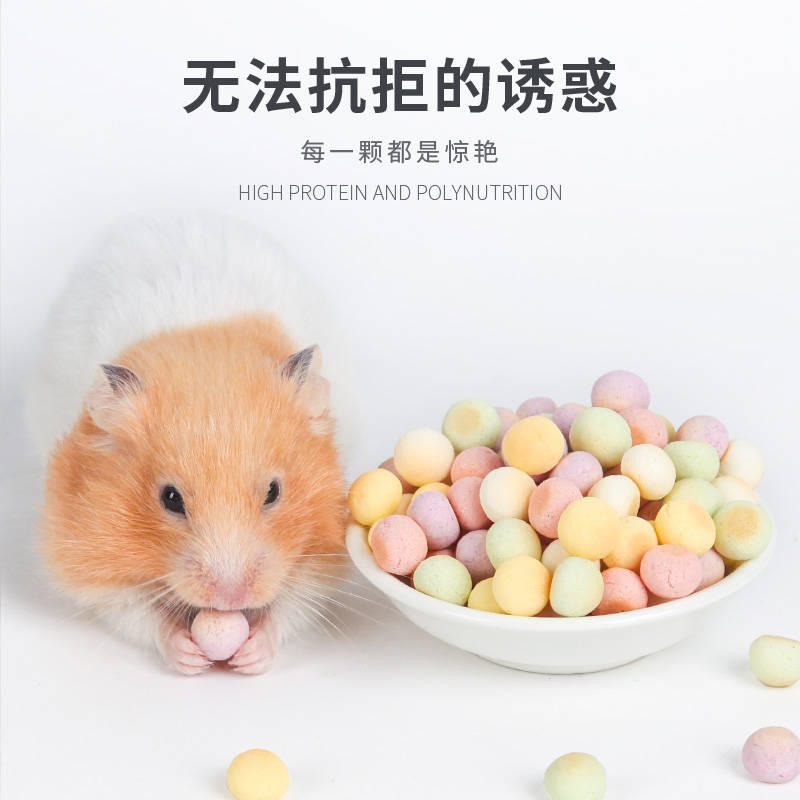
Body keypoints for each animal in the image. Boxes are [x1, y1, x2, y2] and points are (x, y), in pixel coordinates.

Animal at [26, 214, 351, 675]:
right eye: (170, 499)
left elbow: (296, 604)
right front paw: (189, 655)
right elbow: (133, 610)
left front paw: (251, 655)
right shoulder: (86, 551)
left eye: (274, 492)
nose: (231, 599)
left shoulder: (323, 550)